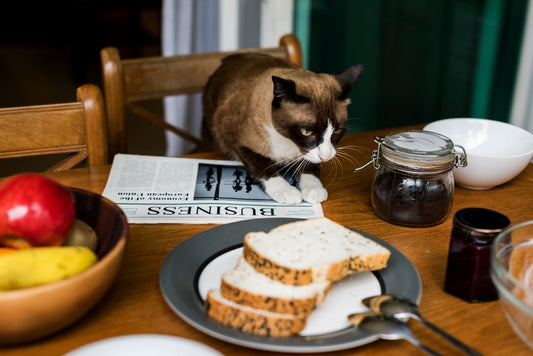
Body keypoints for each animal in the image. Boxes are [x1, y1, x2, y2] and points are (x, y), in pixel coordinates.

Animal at [202, 52, 364, 203]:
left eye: (337, 131)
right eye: (306, 132)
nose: (326, 157)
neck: (289, 143)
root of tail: (231, 57)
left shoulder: (309, 155)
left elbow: (311, 164)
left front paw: (314, 189)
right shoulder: (234, 138)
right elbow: (263, 165)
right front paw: (287, 191)